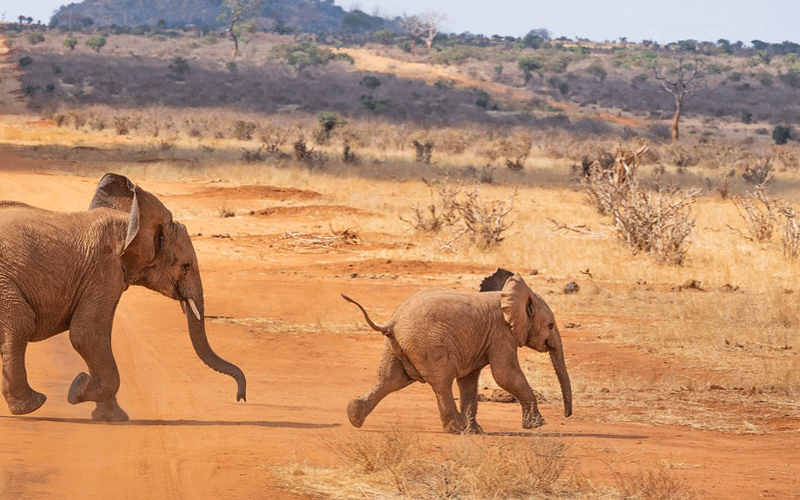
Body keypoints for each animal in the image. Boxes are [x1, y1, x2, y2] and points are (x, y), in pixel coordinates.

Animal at [0, 174, 244, 420]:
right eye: (186, 266)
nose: (240, 398)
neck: (132, 223)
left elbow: (90, 336)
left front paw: (111, 417)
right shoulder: (104, 268)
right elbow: (88, 334)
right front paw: (78, 389)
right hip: (5, 283)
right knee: (21, 323)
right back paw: (32, 404)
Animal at [340, 270, 572, 434]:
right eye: (551, 325)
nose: (567, 416)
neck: (510, 295)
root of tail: (392, 322)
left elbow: (469, 381)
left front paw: (476, 431)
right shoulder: (502, 334)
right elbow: (505, 375)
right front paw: (538, 425)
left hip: (397, 346)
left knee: (390, 380)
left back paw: (354, 416)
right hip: (429, 345)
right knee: (441, 382)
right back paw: (456, 429)